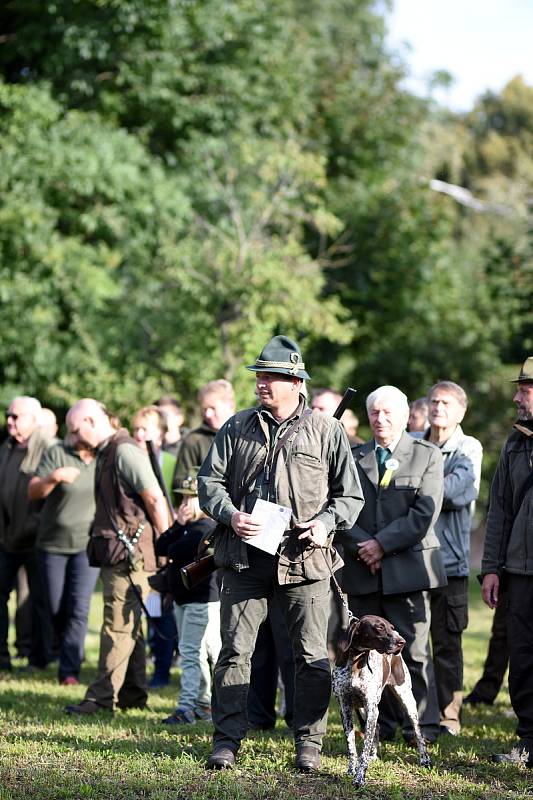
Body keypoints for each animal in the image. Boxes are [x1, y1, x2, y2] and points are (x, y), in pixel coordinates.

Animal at [330, 612, 430, 788]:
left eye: (392, 627)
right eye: (379, 627)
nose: (402, 641)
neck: (356, 660)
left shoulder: (371, 708)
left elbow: (364, 749)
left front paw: (360, 778)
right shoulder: (345, 708)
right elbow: (351, 745)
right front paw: (351, 770)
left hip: (406, 700)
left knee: (418, 733)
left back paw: (424, 759)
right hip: (364, 710)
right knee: (376, 728)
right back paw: (374, 756)